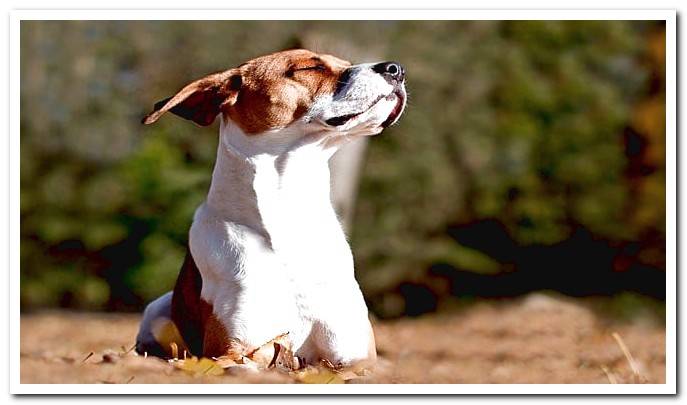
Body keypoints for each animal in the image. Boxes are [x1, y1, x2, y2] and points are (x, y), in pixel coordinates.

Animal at [136, 49, 408, 370]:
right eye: (309, 67)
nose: (396, 68)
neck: (288, 217)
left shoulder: (356, 357)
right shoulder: (232, 351)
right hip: (155, 313)